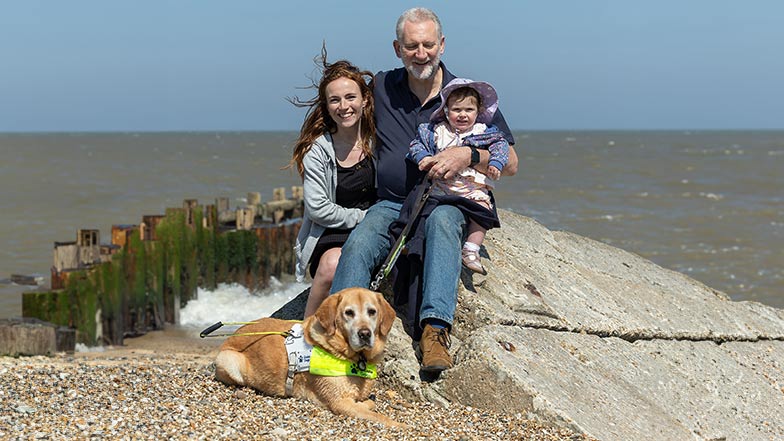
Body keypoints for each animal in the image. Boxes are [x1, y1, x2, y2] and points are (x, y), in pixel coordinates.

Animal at [213, 286, 402, 426]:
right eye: (349, 313)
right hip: (229, 361)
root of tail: (232, 334)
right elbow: (380, 417)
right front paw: (399, 425)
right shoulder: (340, 402)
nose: (364, 334)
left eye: (372, 312)